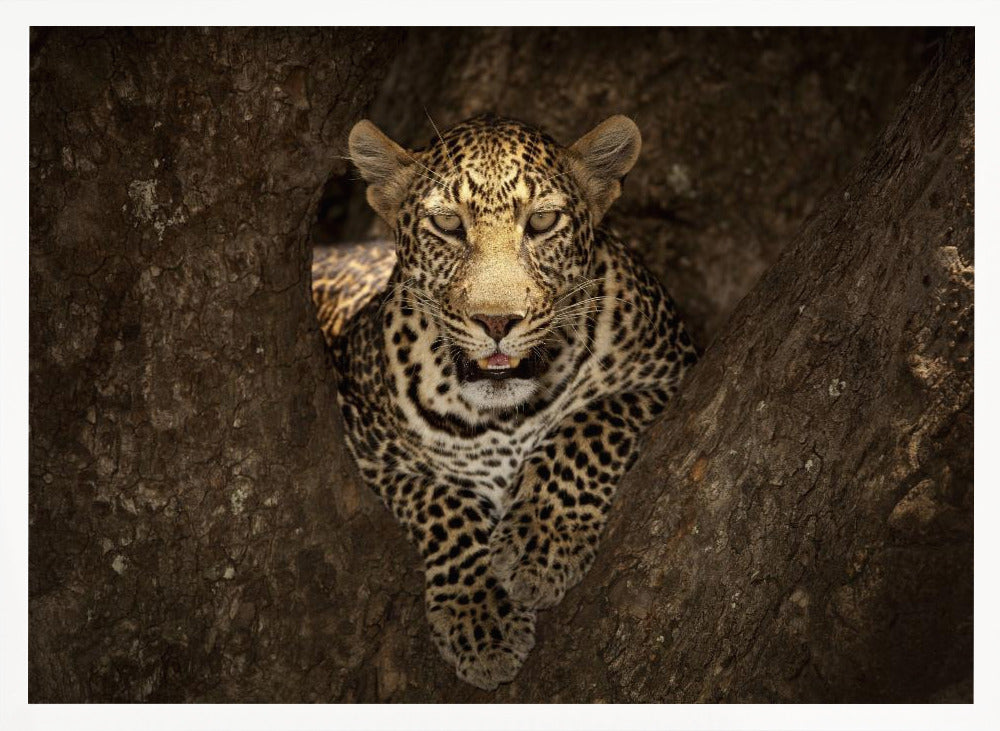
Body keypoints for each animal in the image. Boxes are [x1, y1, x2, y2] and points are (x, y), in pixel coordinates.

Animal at [312, 111, 696, 688]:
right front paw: (481, 617)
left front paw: (540, 543)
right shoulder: (368, 444)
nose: (496, 322)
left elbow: (587, 425)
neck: (503, 417)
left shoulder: (670, 370)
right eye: (449, 226)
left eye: (542, 222)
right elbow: (441, 503)